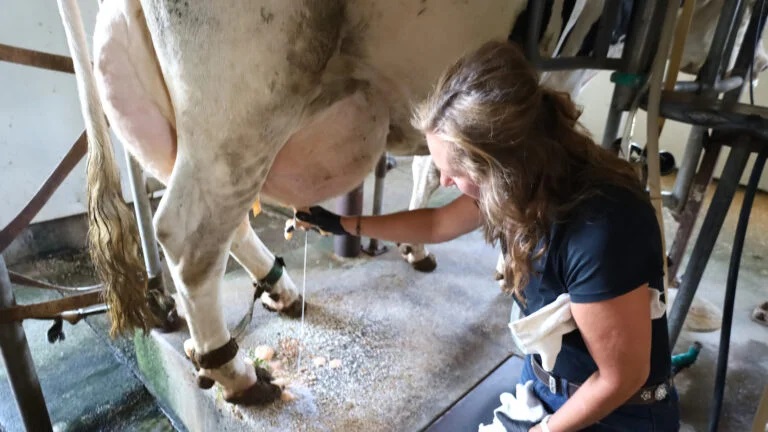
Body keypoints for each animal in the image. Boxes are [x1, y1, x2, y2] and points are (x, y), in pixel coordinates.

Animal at [58, 0, 768, 404]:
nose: (749, 63)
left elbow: (439, 166)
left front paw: (417, 245)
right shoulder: (559, 67)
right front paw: (503, 264)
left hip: (157, 114)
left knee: (216, 220)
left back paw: (278, 292)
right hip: (247, 93)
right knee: (187, 231)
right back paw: (236, 374)